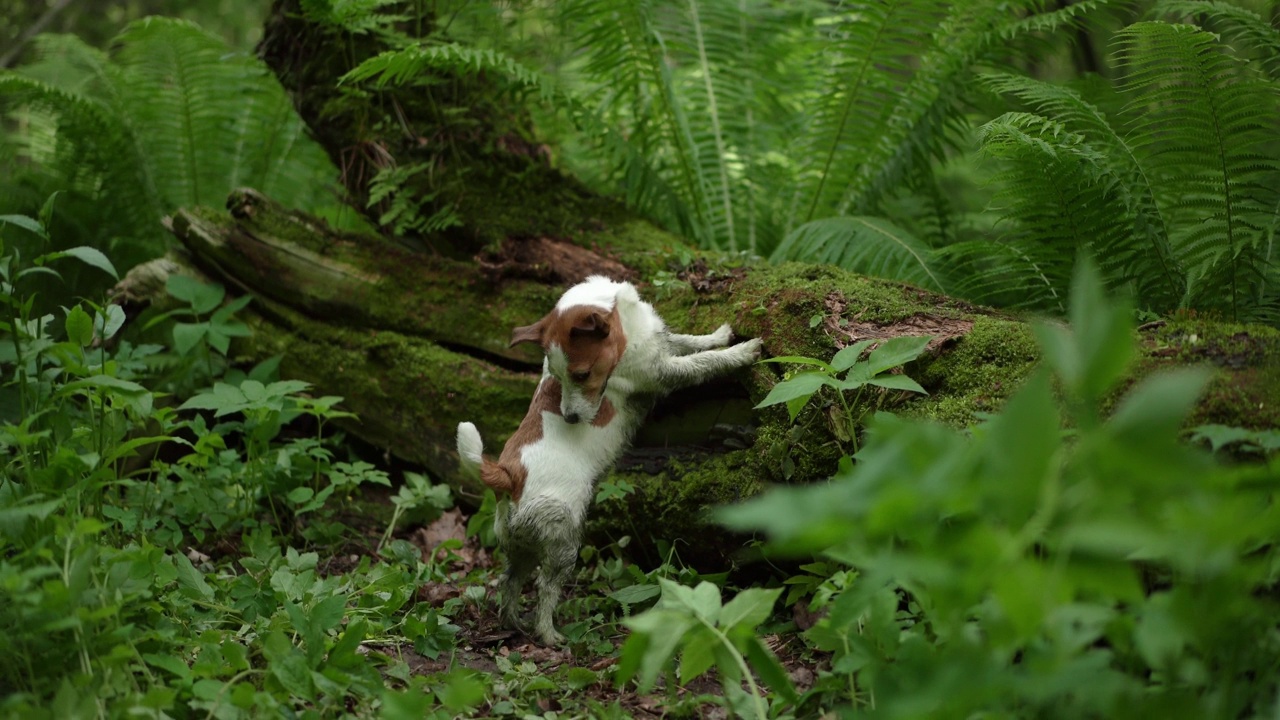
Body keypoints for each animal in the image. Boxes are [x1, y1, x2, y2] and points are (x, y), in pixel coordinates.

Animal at [458, 275, 757, 645]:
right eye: (562, 375)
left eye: (581, 374)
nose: (570, 418)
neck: (626, 324)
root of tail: (508, 474)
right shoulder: (663, 373)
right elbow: (703, 363)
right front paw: (741, 352)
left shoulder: (660, 344)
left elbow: (687, 341)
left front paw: (720, 335)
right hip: (563, 537)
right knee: (545, 587)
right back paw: (549, 634)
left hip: (520, 543)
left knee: (510, 580)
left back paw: (513, 624)